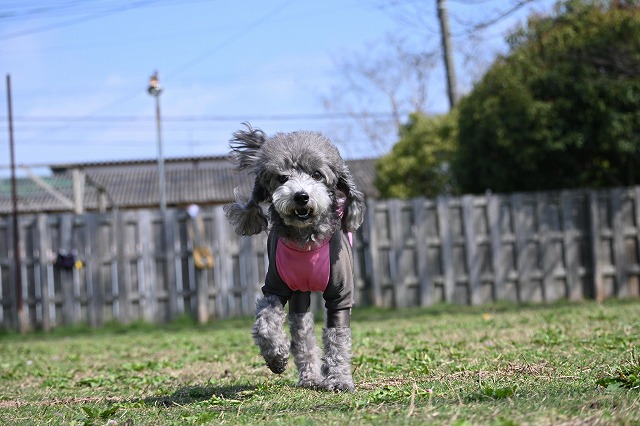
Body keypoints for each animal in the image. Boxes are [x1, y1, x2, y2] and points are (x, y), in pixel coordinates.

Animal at [223, 123, 366, 391]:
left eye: (317, 175)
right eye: (282, 177)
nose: (301, 196)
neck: (305, 240)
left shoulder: (340, 296)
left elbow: (338, 339)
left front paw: (340, 380)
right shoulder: (275, 288)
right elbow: (265, 323)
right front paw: (276, 357)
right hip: (299, 293)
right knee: (302, 331)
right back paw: (310, 377)